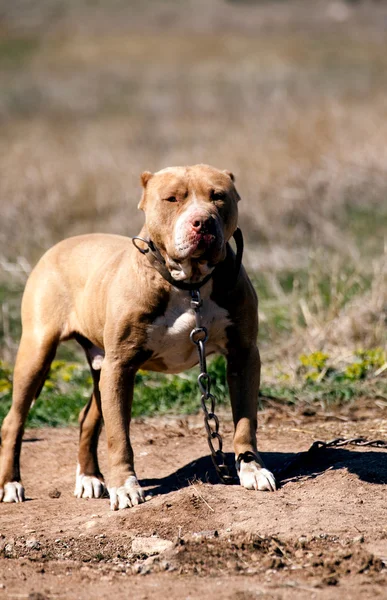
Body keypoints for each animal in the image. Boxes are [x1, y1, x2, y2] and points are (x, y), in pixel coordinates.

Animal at [0, 165, 278, 510]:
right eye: (172, 198)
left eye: (218, 196)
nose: (202, 222)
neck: (190, 284)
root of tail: (59, 245)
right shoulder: (121, 365)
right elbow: (119, 435)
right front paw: (125, 487)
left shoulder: (243, 354)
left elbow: (245, 420)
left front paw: (252, 469)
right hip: (39, 351)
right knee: (14, 420)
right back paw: (11, 484)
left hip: (100, 365)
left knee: (87, 417)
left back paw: (89, 478)